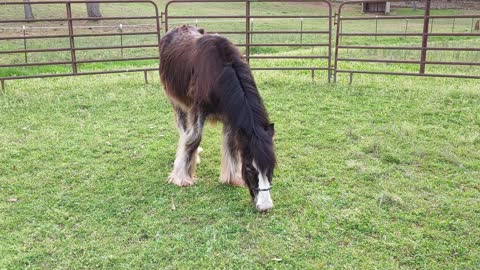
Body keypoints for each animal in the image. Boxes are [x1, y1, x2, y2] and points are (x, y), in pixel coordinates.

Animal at [159, 25, 276, 211]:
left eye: (271, 167)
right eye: (249, 167)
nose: (265, 206)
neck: (217, 73)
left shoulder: (230, 119)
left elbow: (231, 146)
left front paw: (232, 178)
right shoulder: (197, 110)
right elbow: (193, 140)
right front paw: (182, 178)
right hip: (177, 103)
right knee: (184, 132)